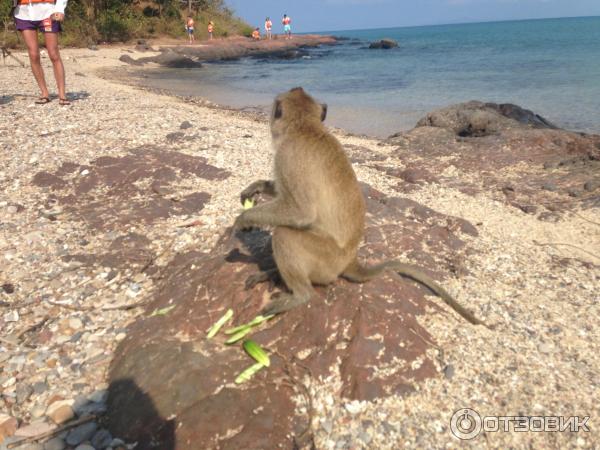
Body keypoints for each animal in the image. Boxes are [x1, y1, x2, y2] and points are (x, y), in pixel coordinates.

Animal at [232, 88, 486, 326]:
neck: (305, 127)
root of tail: (350, 260)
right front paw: (255, 188)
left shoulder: (287, 155)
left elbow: (300, 212)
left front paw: (243, 219)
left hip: (326, 261)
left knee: (284, 235)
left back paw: (300, 295)